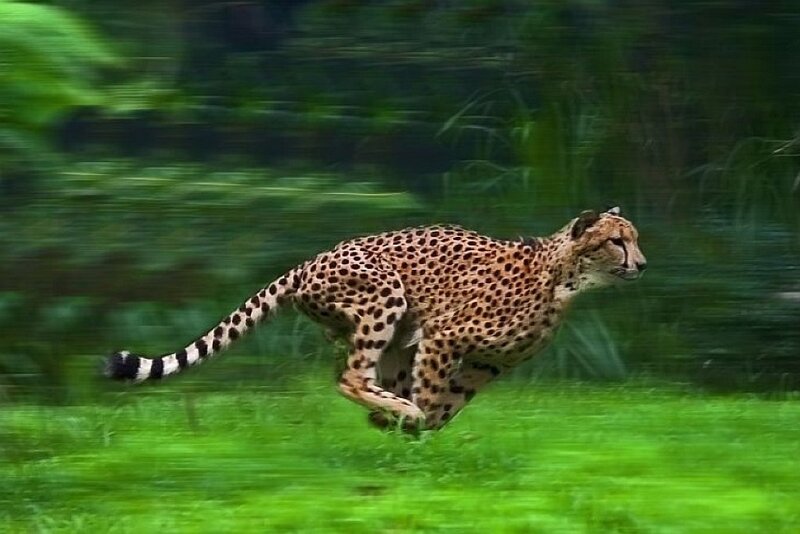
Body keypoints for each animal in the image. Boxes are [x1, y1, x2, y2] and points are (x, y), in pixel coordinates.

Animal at [106, 206, 646, 431]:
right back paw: (397, 411)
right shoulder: (444, 336)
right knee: (350, 376)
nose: (641, 264)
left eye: (634, 238)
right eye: (616, 240)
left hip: (395, 335)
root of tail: (310, 260)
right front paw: (415, 421)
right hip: (384, 296)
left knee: (366, 374)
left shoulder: (488, 363)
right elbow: (434, 396)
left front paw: (409, 426)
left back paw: (388, 413)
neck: (563, 279)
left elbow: (452, 403)